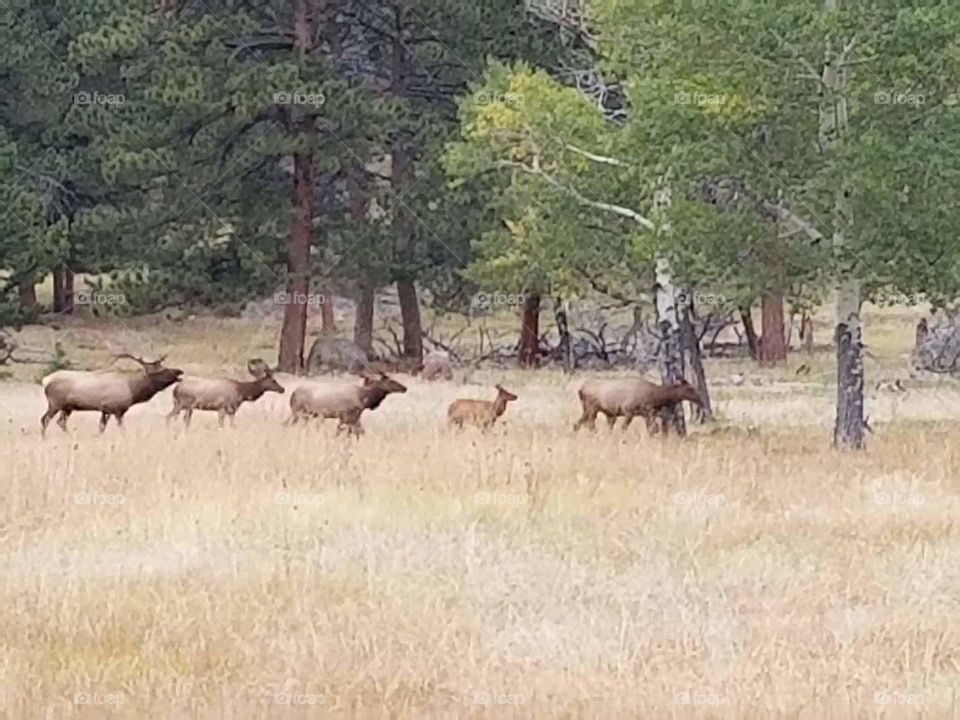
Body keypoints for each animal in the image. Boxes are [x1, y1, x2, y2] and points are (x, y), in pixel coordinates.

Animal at [41, 353, 182, 436]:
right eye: (163, 370)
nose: (179, 371)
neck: (133, 390)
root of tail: (45, 380)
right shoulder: (116, 410)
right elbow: (122, 429)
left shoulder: (105, 410)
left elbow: (101, 428)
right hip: (55, 404)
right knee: (45, 419)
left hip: (67, 408)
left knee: (60, 422)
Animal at [573, 377, 702, 435]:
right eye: (690, 388)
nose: (700, 399)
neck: (655, 398)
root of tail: (581, 389)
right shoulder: (628, 410)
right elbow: (623, 428)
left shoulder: (647, 414)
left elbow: (652, 429)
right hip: (592, 408)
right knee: (590, 424)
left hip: (586, 409)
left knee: (577, 423)